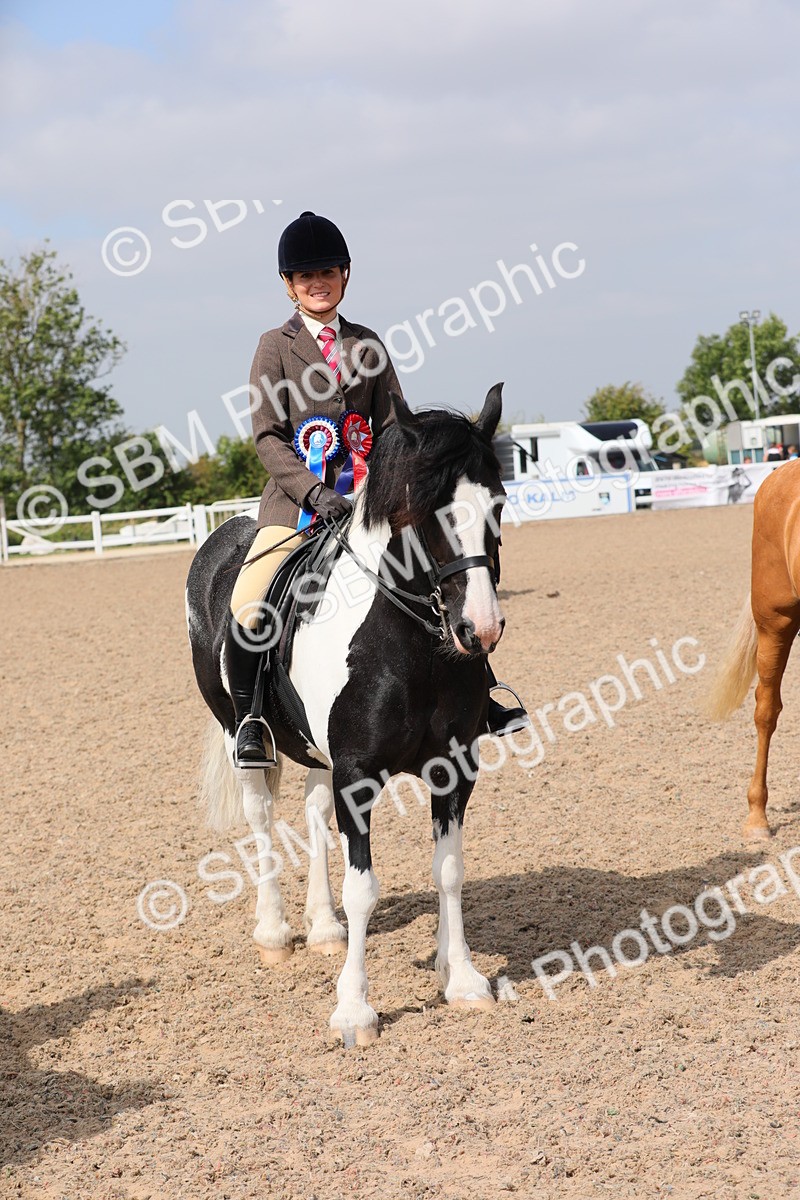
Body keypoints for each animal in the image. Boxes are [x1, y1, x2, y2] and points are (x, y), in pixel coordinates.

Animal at [185, 386, 508, 1045]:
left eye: (500, 503)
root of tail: (225, 535)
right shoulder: (357, 776)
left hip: (314, 749)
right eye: (429, 511)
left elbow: (450, 870)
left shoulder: (454, 769)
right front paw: (355, 1010)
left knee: (312, 816)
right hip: (241, 736)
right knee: (261, 820)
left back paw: (324, 927)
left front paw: (461, 979)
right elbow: (364, 889)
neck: (411, 643)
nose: (481, 630)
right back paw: (275, 933)